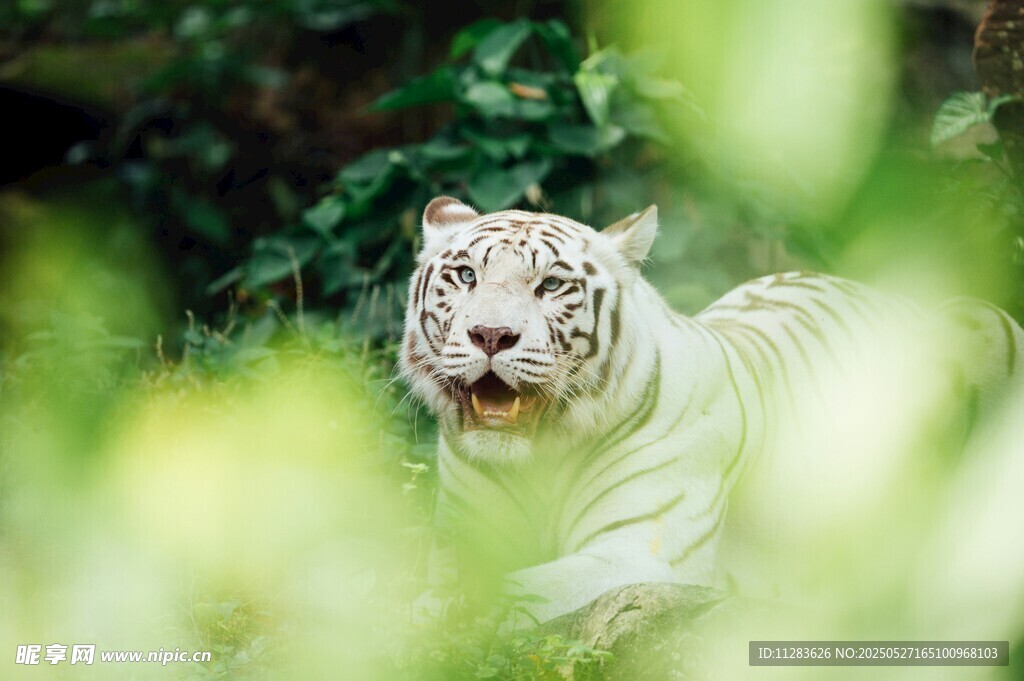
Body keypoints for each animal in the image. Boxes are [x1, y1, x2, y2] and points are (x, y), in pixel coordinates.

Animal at [400, 196, 1024, 624]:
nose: (490, 334)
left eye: (551, 285)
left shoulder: (639, 556)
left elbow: (508, 594)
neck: (540, 460)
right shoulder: (460, 544)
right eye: (467, 276)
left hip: (979, 318)